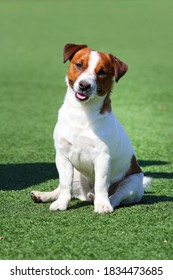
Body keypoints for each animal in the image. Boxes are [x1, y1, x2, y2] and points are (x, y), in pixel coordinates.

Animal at [31, 43, 151, 214]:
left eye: (102, 71)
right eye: (79, 64)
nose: (84, 85)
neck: (81, 113)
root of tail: (87, 194)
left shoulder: (102, 157)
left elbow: (101, 184)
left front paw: (102, 205)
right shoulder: (62, 156)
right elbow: (65, 185)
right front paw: (61, 204)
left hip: (132, 183)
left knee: (116, 195)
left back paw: (106, 201)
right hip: (76, 174)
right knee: (63, 188)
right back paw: (43, 195)